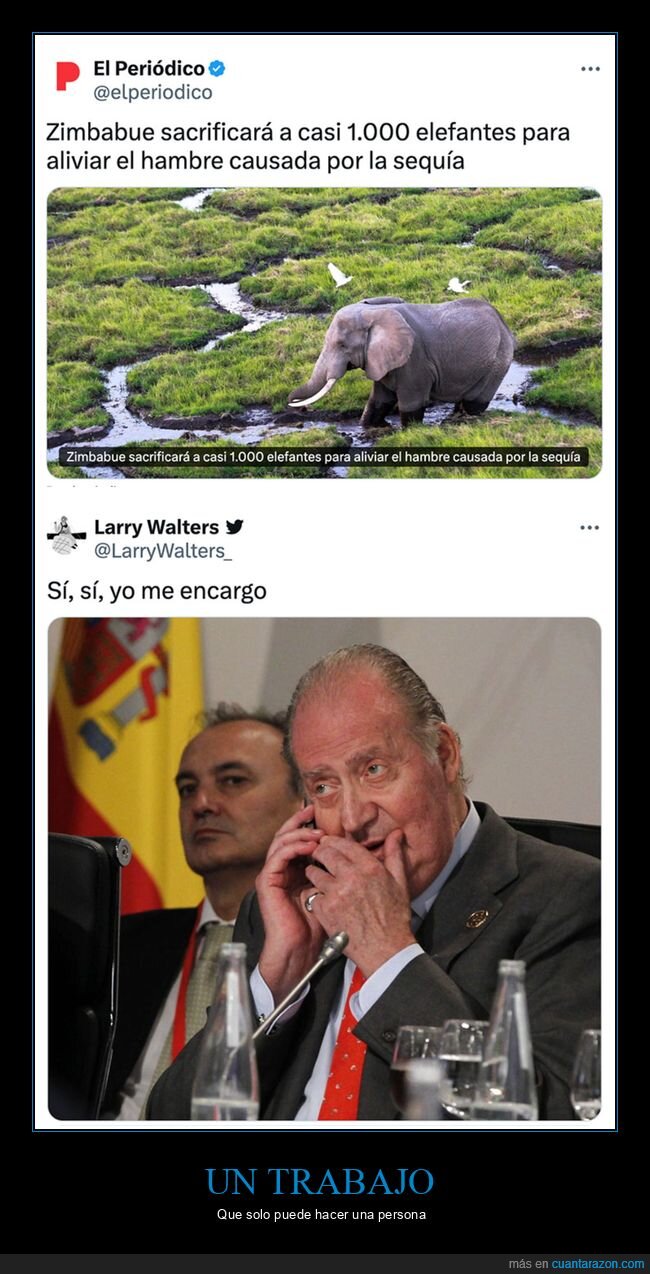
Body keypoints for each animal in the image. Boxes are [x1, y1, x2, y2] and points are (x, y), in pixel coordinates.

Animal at [288, 296, 515, 428]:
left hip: (498, 360)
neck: (373, 314)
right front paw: (369, 427)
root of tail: (503, 322)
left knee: (474, 402)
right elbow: (379, 400)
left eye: (342, 345)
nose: (297, 407)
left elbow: (411, 404)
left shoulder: (415, 359)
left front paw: (410, 432)